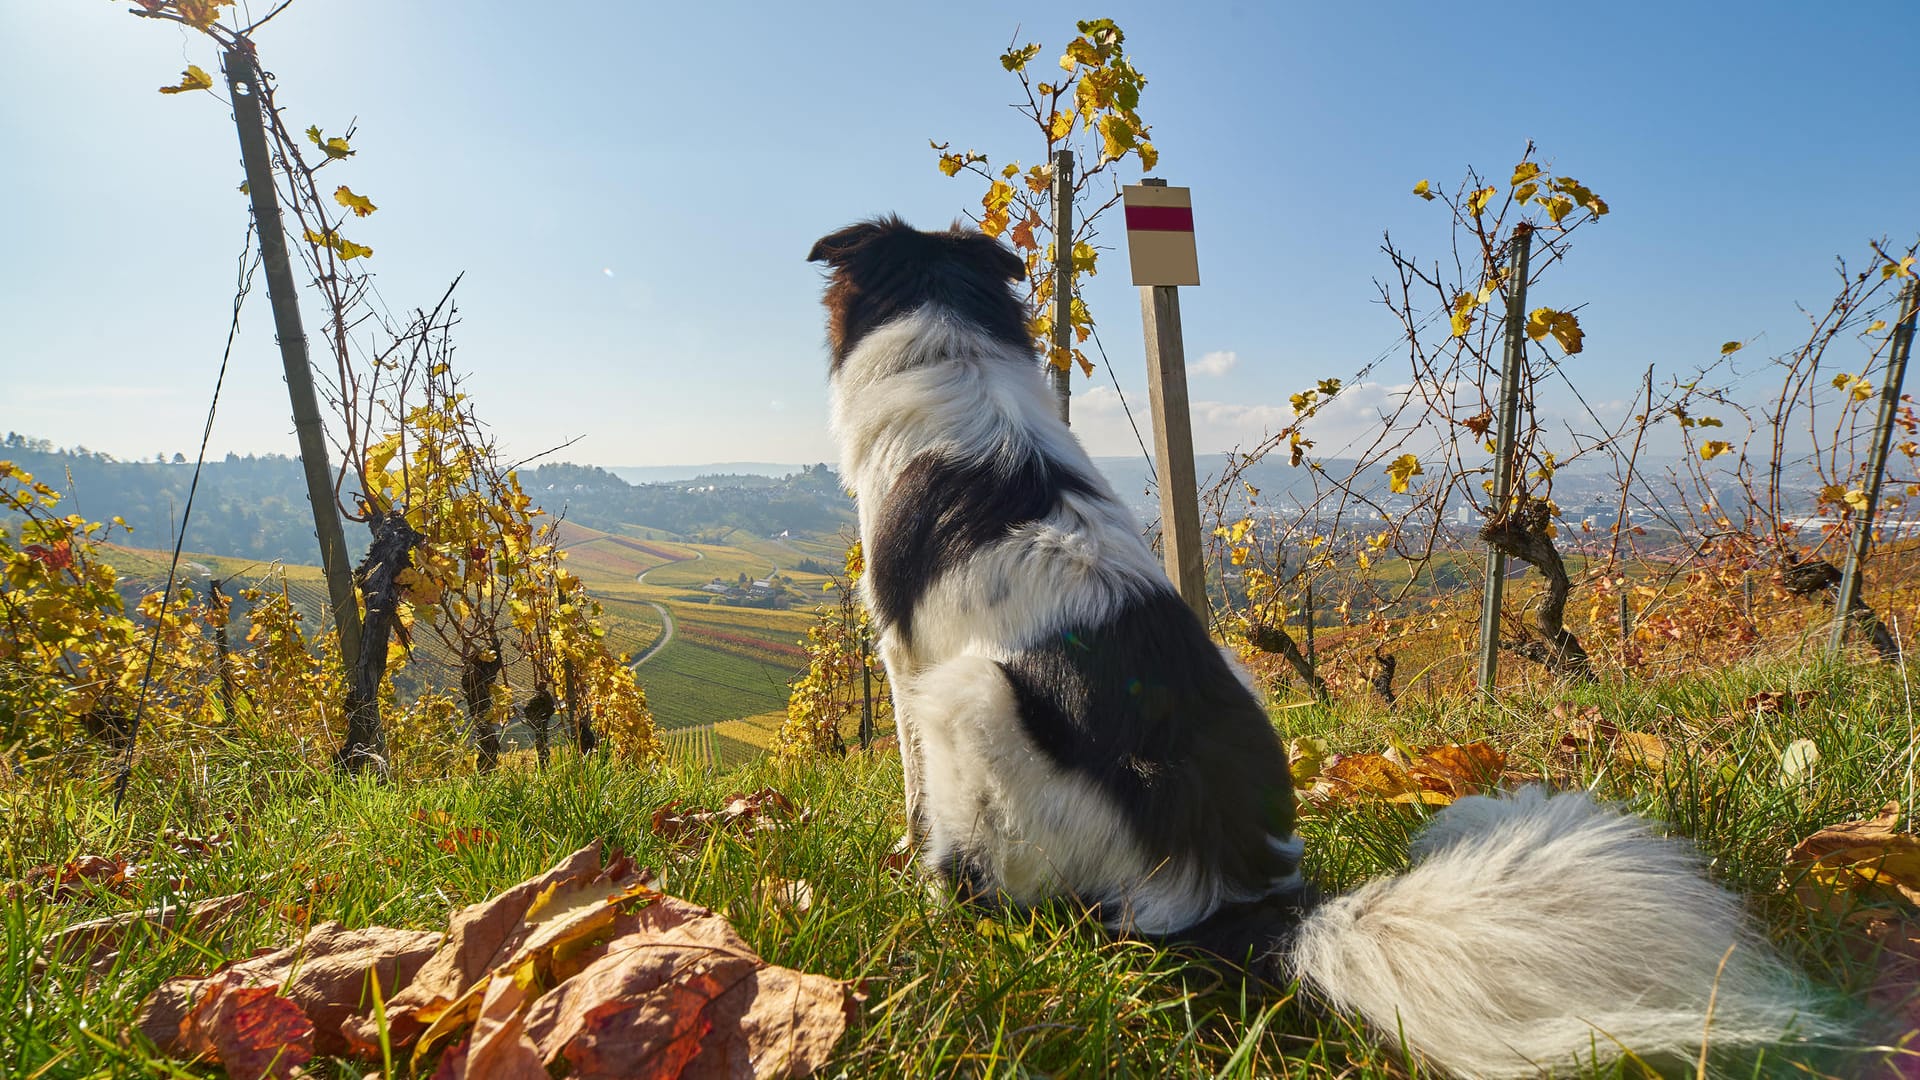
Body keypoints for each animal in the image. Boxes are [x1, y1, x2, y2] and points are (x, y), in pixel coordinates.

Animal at [806, 214, 1827, 1068]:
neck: (957, 349)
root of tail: (1237, 895)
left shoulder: (901, 658)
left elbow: (909, 787)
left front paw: (901, 862)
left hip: (972, 695)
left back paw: (944, 909)